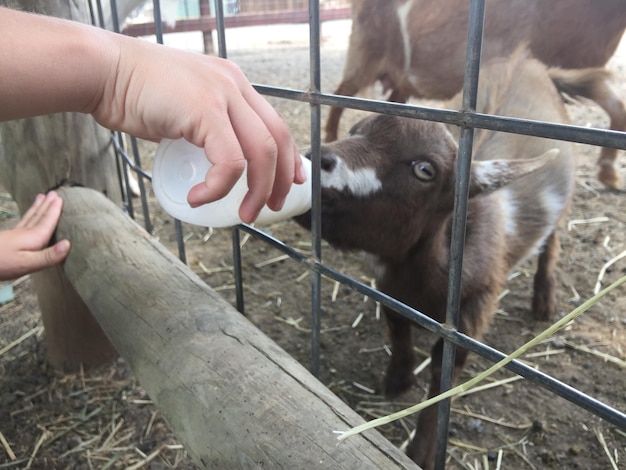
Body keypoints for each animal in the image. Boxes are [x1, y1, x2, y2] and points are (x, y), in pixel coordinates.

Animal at [292, 49, 584, 468]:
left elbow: (443, 373)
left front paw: (421, 450)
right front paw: (396, 382)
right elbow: (398, 328)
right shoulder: (390, 287)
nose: (315, 160)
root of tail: (530, 63)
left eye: (425, 169)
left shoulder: (473, 307)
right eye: (355, 130)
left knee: (552, 242)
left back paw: (544, 301)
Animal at [326, 0, 624, 191]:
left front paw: (609, 173)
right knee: (340, 95)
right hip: (365, 55)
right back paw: (330, 136)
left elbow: (614, 104)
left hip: (400, 78)